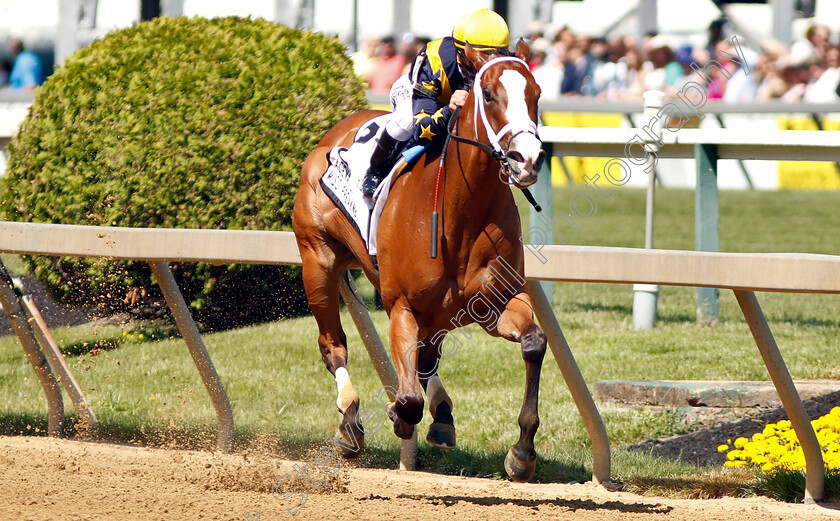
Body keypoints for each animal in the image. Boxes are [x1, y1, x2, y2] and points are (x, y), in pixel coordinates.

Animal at [292, 41, 548, 484]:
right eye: (490, 94)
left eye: (536, 93)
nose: (528, 158)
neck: (460, 213)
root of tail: (334, 132)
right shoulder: (402, 307)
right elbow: (408, 399)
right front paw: (397, 416)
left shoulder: (494, 304)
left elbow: (534, 343)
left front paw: (522, 453)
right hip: (318, 261)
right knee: (333, 345)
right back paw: (349, 423)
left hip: (436, 314)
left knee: (428, 360)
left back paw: (441, 415)